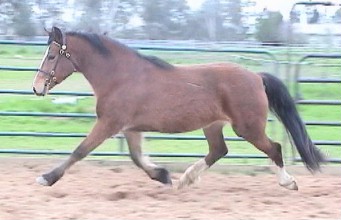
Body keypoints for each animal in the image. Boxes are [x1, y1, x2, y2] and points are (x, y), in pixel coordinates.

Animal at [32, 26, 324, 190]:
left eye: (51, 55)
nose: (36, 88)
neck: (121, 76)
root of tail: (256, 77)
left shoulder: (108, 124)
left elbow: (80, 151)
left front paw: (47, 178)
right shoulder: (130, 128)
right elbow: (136, 157)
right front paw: (162, 175)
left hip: (248, 128)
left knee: (274, 148)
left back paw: (288, 182)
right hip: (213, 126)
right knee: (219, 151)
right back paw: (186, 180)